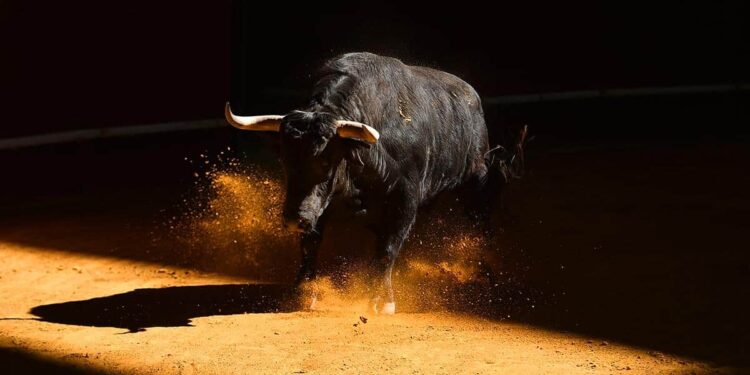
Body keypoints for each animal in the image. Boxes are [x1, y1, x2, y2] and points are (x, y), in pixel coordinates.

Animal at [226, 52, 524, 314]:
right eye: (285, 162)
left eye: (326, 162)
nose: (294, 219)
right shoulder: (323, 205)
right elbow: (311, 244)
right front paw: (304, 293)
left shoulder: (404, 201)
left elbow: (387, 250)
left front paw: (382, 302)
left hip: (477, 187)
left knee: (480, 228)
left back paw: (484, 279)